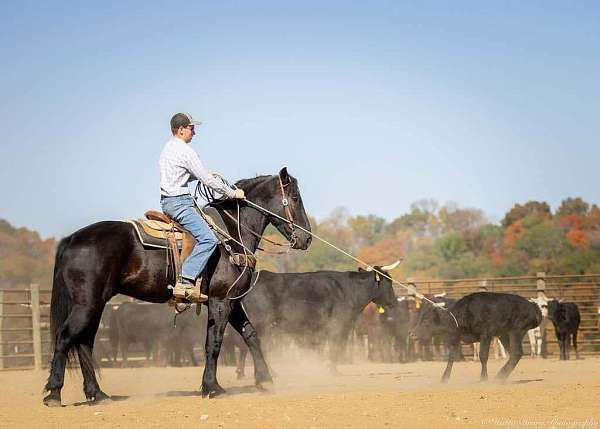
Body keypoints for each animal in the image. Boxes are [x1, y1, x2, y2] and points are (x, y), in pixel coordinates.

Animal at [44, 166, 312, 404]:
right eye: (295, 198)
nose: (307, 238)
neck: (232, 235)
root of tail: (71, 239)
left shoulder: (231, 301)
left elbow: (251, 335)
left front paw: (265, 380)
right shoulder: (220, 301)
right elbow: (214, 343)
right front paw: (212, 387)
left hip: (95, 305)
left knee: (84, 343)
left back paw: (97, 394)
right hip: (86, 304)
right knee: (65, 337)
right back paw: (53, 393)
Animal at [237, 260, 400, 374]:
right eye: (389, 281)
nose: (394, 302)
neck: (350, 289)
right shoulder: (338, 325)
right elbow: (335, 346)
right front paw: (332, 369)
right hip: (261, 324)